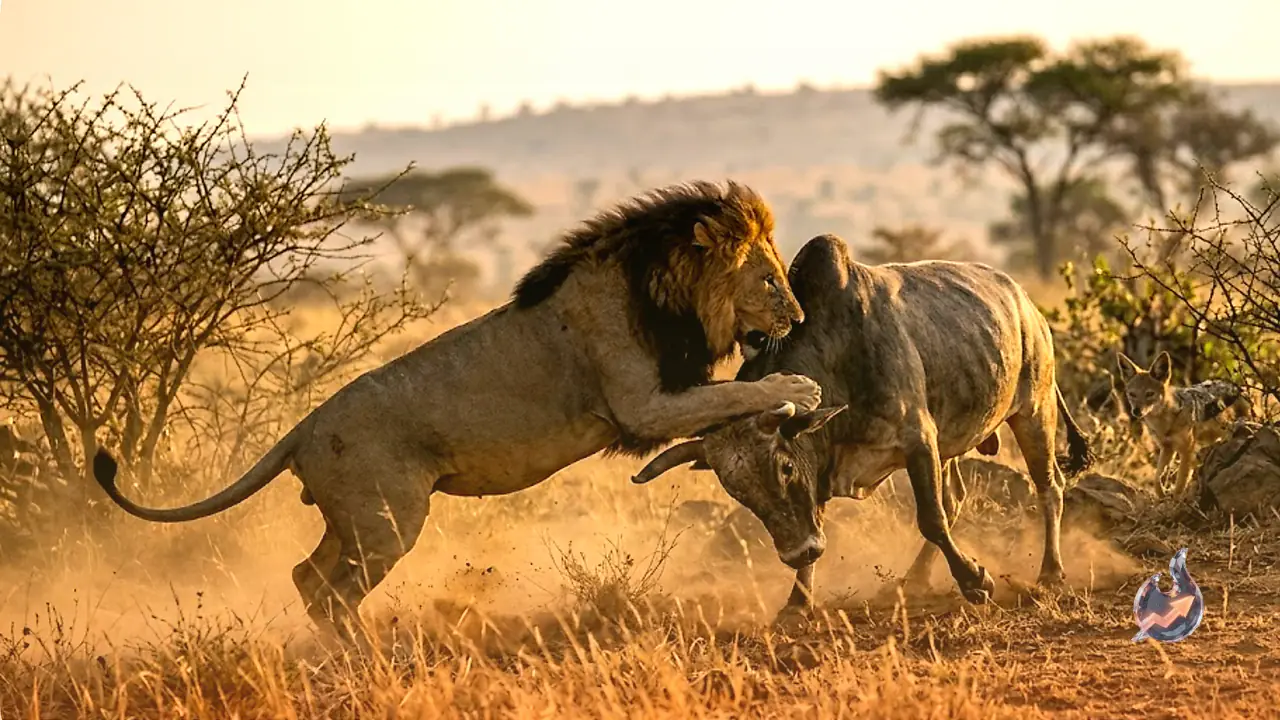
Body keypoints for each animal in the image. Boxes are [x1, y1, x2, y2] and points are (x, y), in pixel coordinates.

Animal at [93, 180, 821, 638]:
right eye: (769, 279)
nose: (798, 316)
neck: (663, 289)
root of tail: (302, 429)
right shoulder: (641, 406)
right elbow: (730, 392)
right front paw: (800, 389)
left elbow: (726, 407)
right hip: (388, 521)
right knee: (331, 592)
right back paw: (366, 662)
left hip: (356, 519)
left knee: (307, 578)